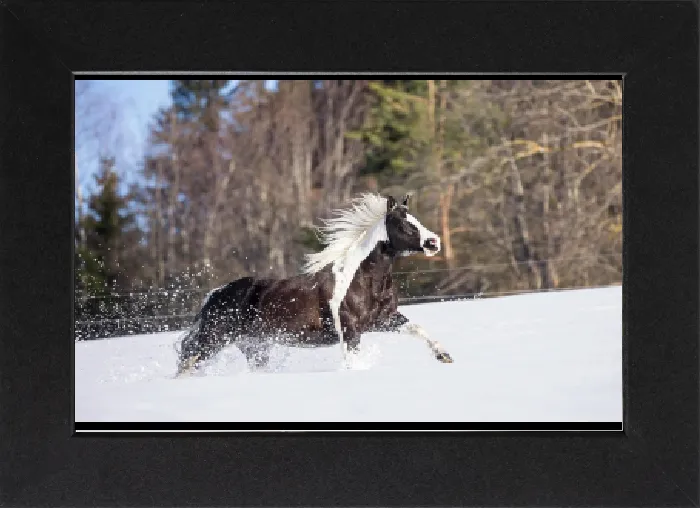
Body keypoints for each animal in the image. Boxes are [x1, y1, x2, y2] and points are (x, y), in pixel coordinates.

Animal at [175, 193, 454, 376]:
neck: (360, 281)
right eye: (403, 224)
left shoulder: (385, 319)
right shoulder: (350, 332)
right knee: (187, 359)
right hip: (212, 340)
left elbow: (418, 329)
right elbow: (352, 362)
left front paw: (444, 356)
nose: (434, 242)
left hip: (255, 346)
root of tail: (214, 294)